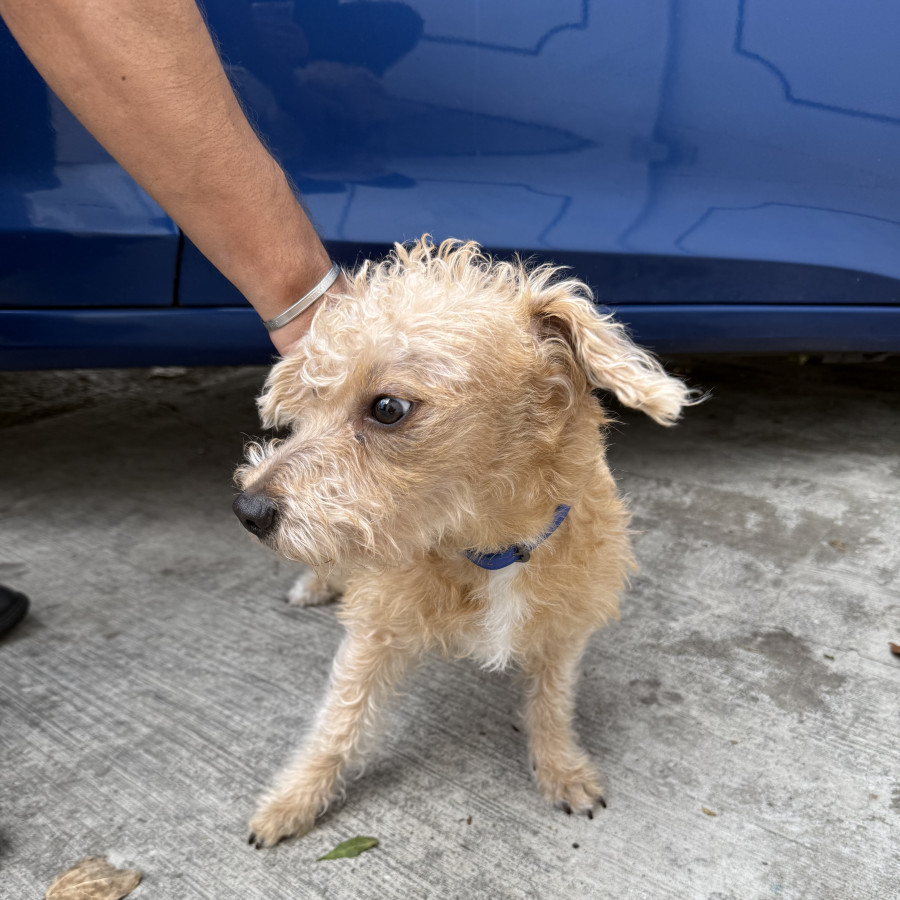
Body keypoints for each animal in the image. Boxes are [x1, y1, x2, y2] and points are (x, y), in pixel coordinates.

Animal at [234, 236, 696, 848]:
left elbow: (552, 703)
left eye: (388, 408)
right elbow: (342, 720)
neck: (491, 550)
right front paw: (295, 798)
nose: (247, 510)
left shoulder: (565, 625)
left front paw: (561, 768)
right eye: (306, 406)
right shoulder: (376, 630)